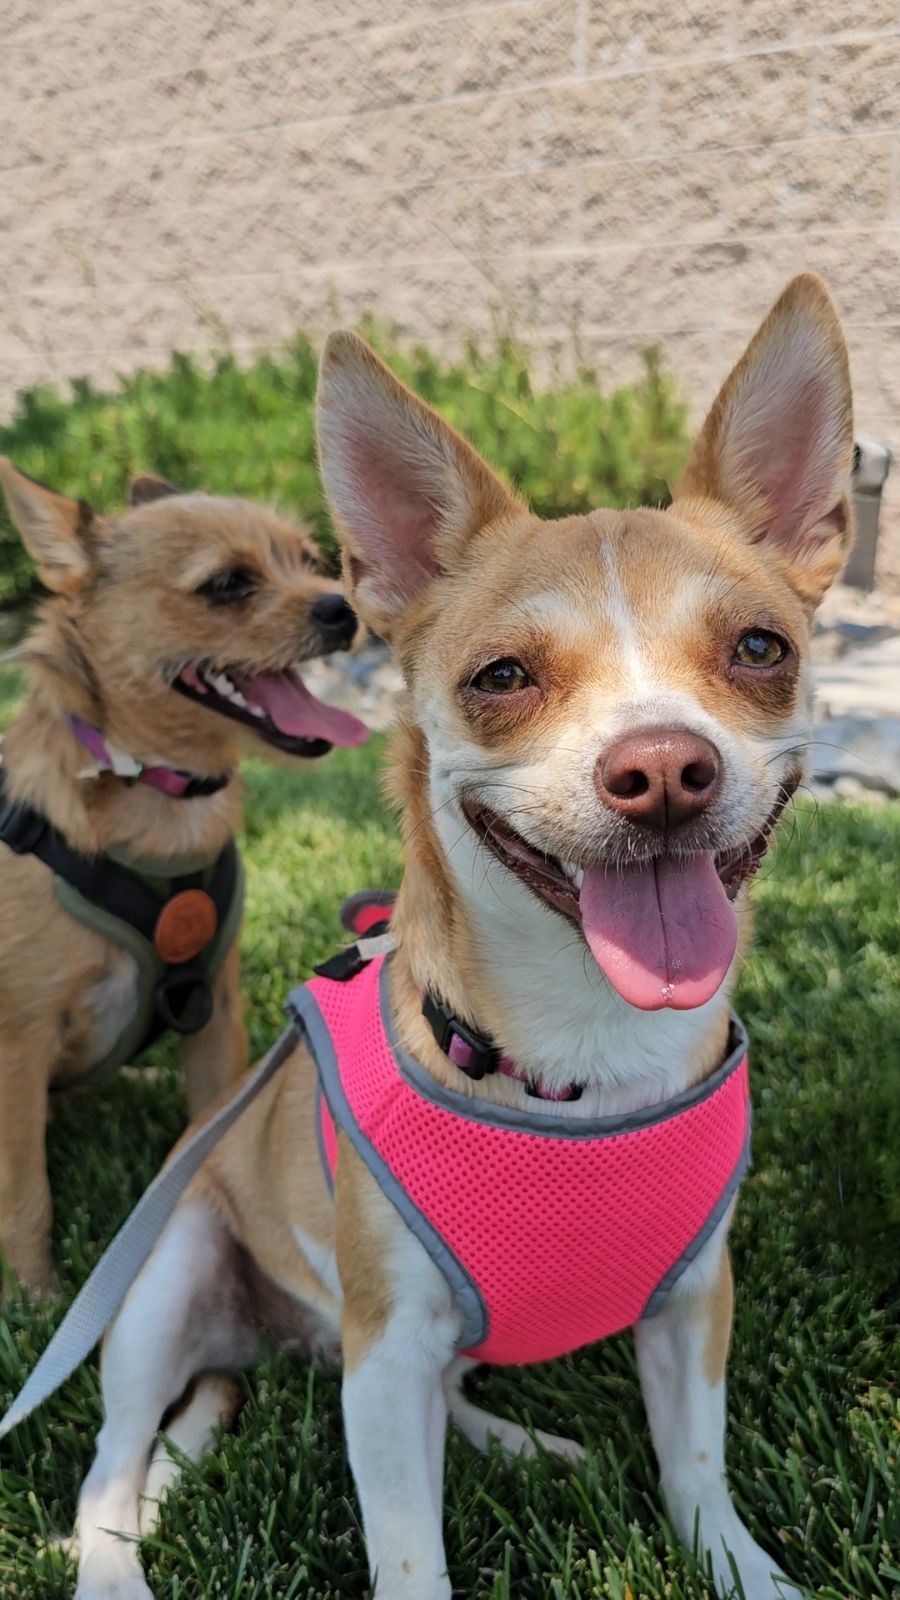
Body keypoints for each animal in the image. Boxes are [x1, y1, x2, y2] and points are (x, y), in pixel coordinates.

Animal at [0, 467, 366, 1299]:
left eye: (310, 560)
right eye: (227, 584)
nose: (342, 606)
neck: (160, 791)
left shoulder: (214, 1012)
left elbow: (213, 1127)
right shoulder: (16, 1049)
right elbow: (25, 1191)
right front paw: (35, 1296)